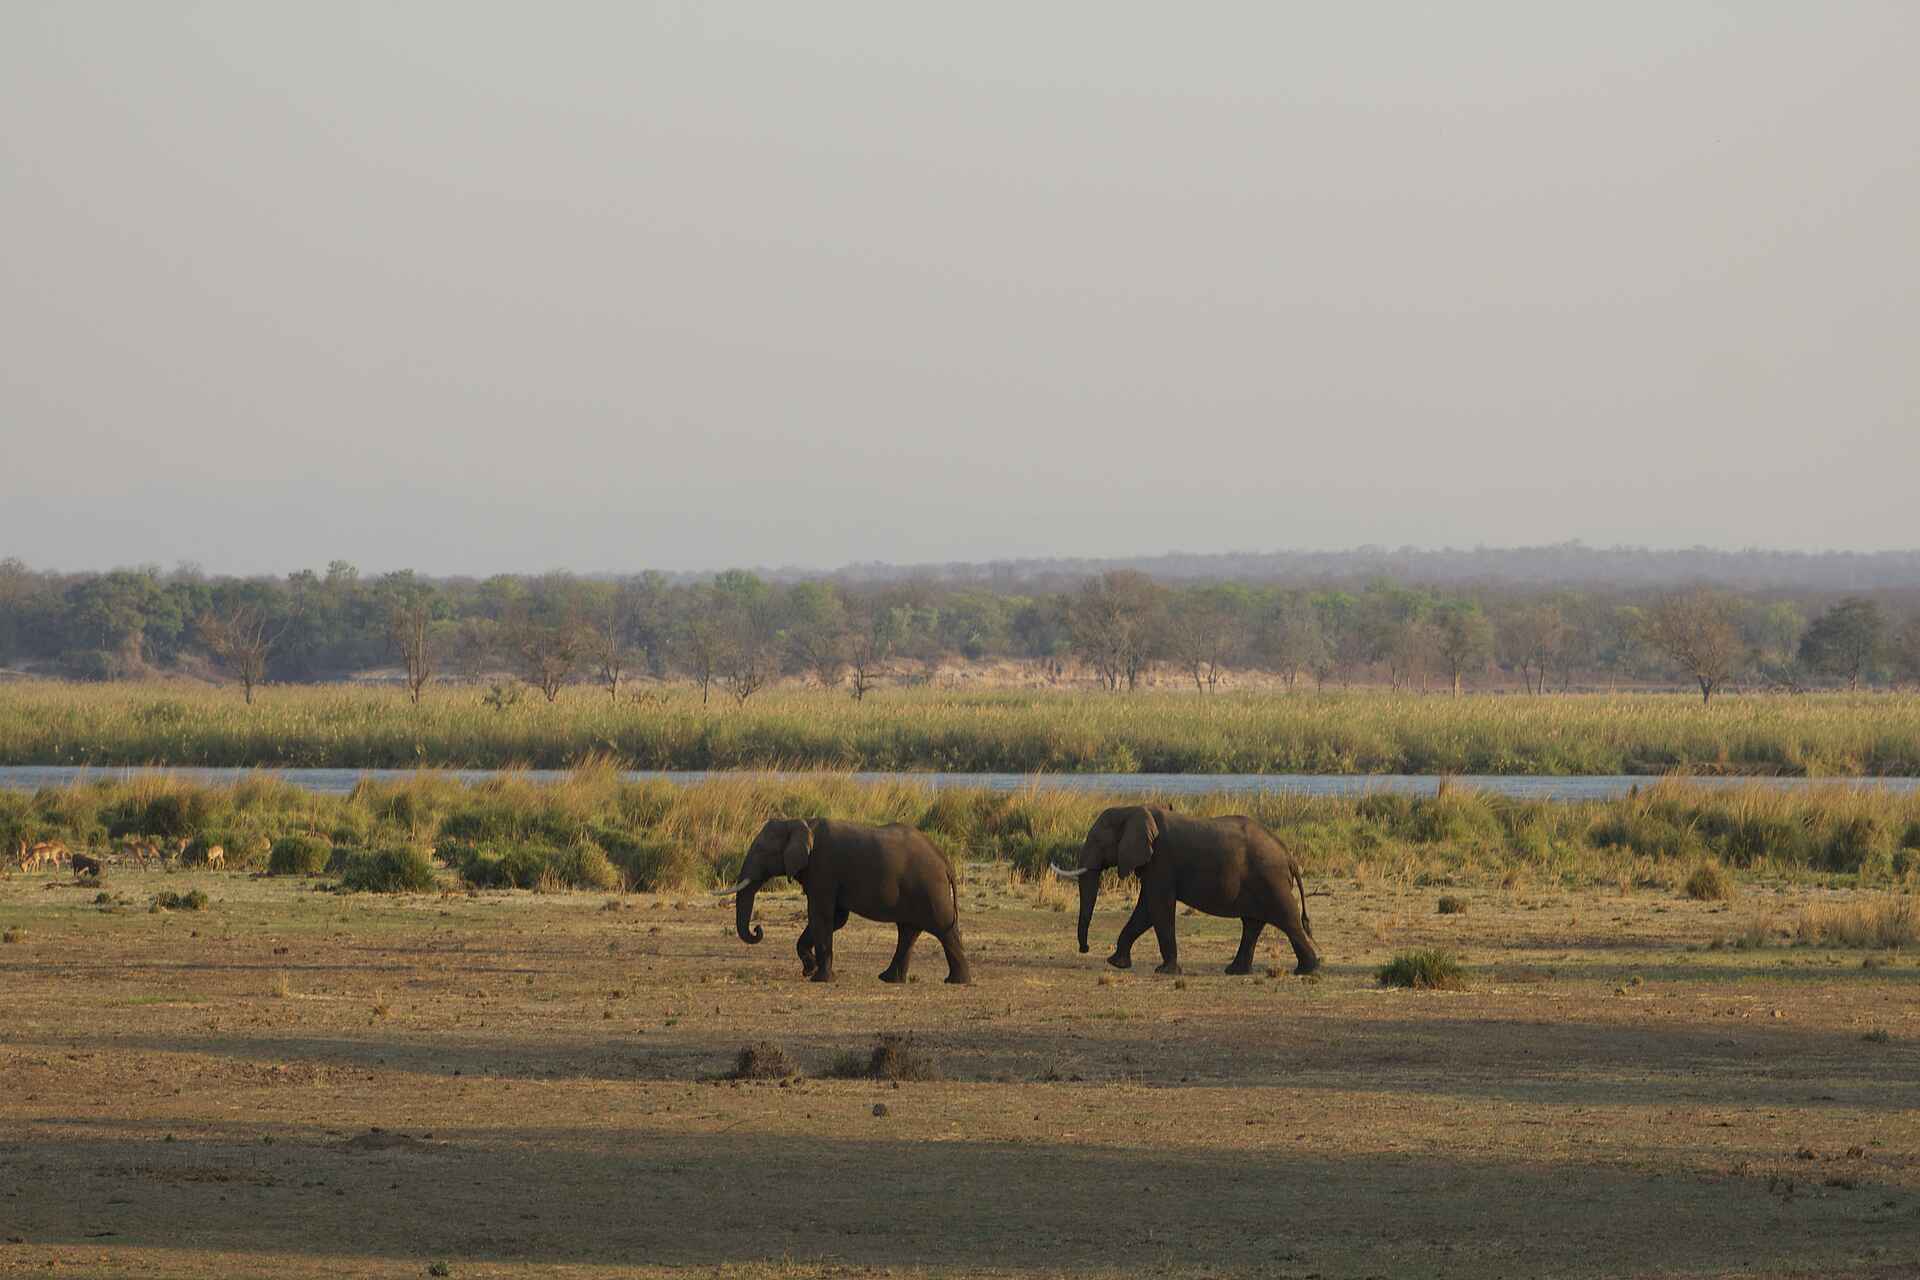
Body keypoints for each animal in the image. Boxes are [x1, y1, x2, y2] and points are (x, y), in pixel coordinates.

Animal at [715, 818, 973, 984]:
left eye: (762, 851)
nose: (758, 929)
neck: (799, 823)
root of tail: (944, 859)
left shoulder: (823, 869)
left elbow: (822, 916)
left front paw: (819, 979)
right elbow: (835, 919)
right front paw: (809, 970)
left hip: (929, 888)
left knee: (943, 928)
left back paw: (956, 981)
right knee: (908, 931)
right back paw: (890, 979)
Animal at [1052, 805, 1321, 976]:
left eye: (1098, 841)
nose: (1085, 949)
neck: (1131, 809)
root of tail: (1288, 854)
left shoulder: (1161, 860)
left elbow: (1158, 906)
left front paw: (1165, 972)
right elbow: (1146, 909)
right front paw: (1117, 963)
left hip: (1270, 879)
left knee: (1287, 919)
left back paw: (1307, 970)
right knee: (1253, 924)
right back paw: (1236, 971)